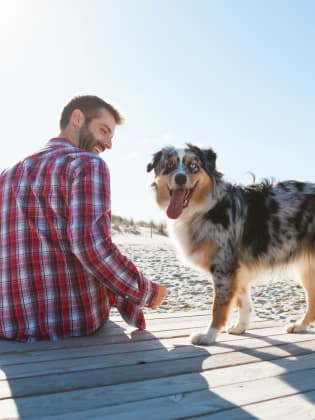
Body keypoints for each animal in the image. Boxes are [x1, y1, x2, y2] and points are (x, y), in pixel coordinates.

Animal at [148, 144, 315, 344]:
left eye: (193, 166)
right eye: (170, 165)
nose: (180, 178)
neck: (205, 207)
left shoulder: (224, 267)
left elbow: (218, 307)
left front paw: (209, 336)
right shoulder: (236, 269)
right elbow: (244, 302)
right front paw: (240, 327)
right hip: (306, 268)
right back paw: (300, 326)